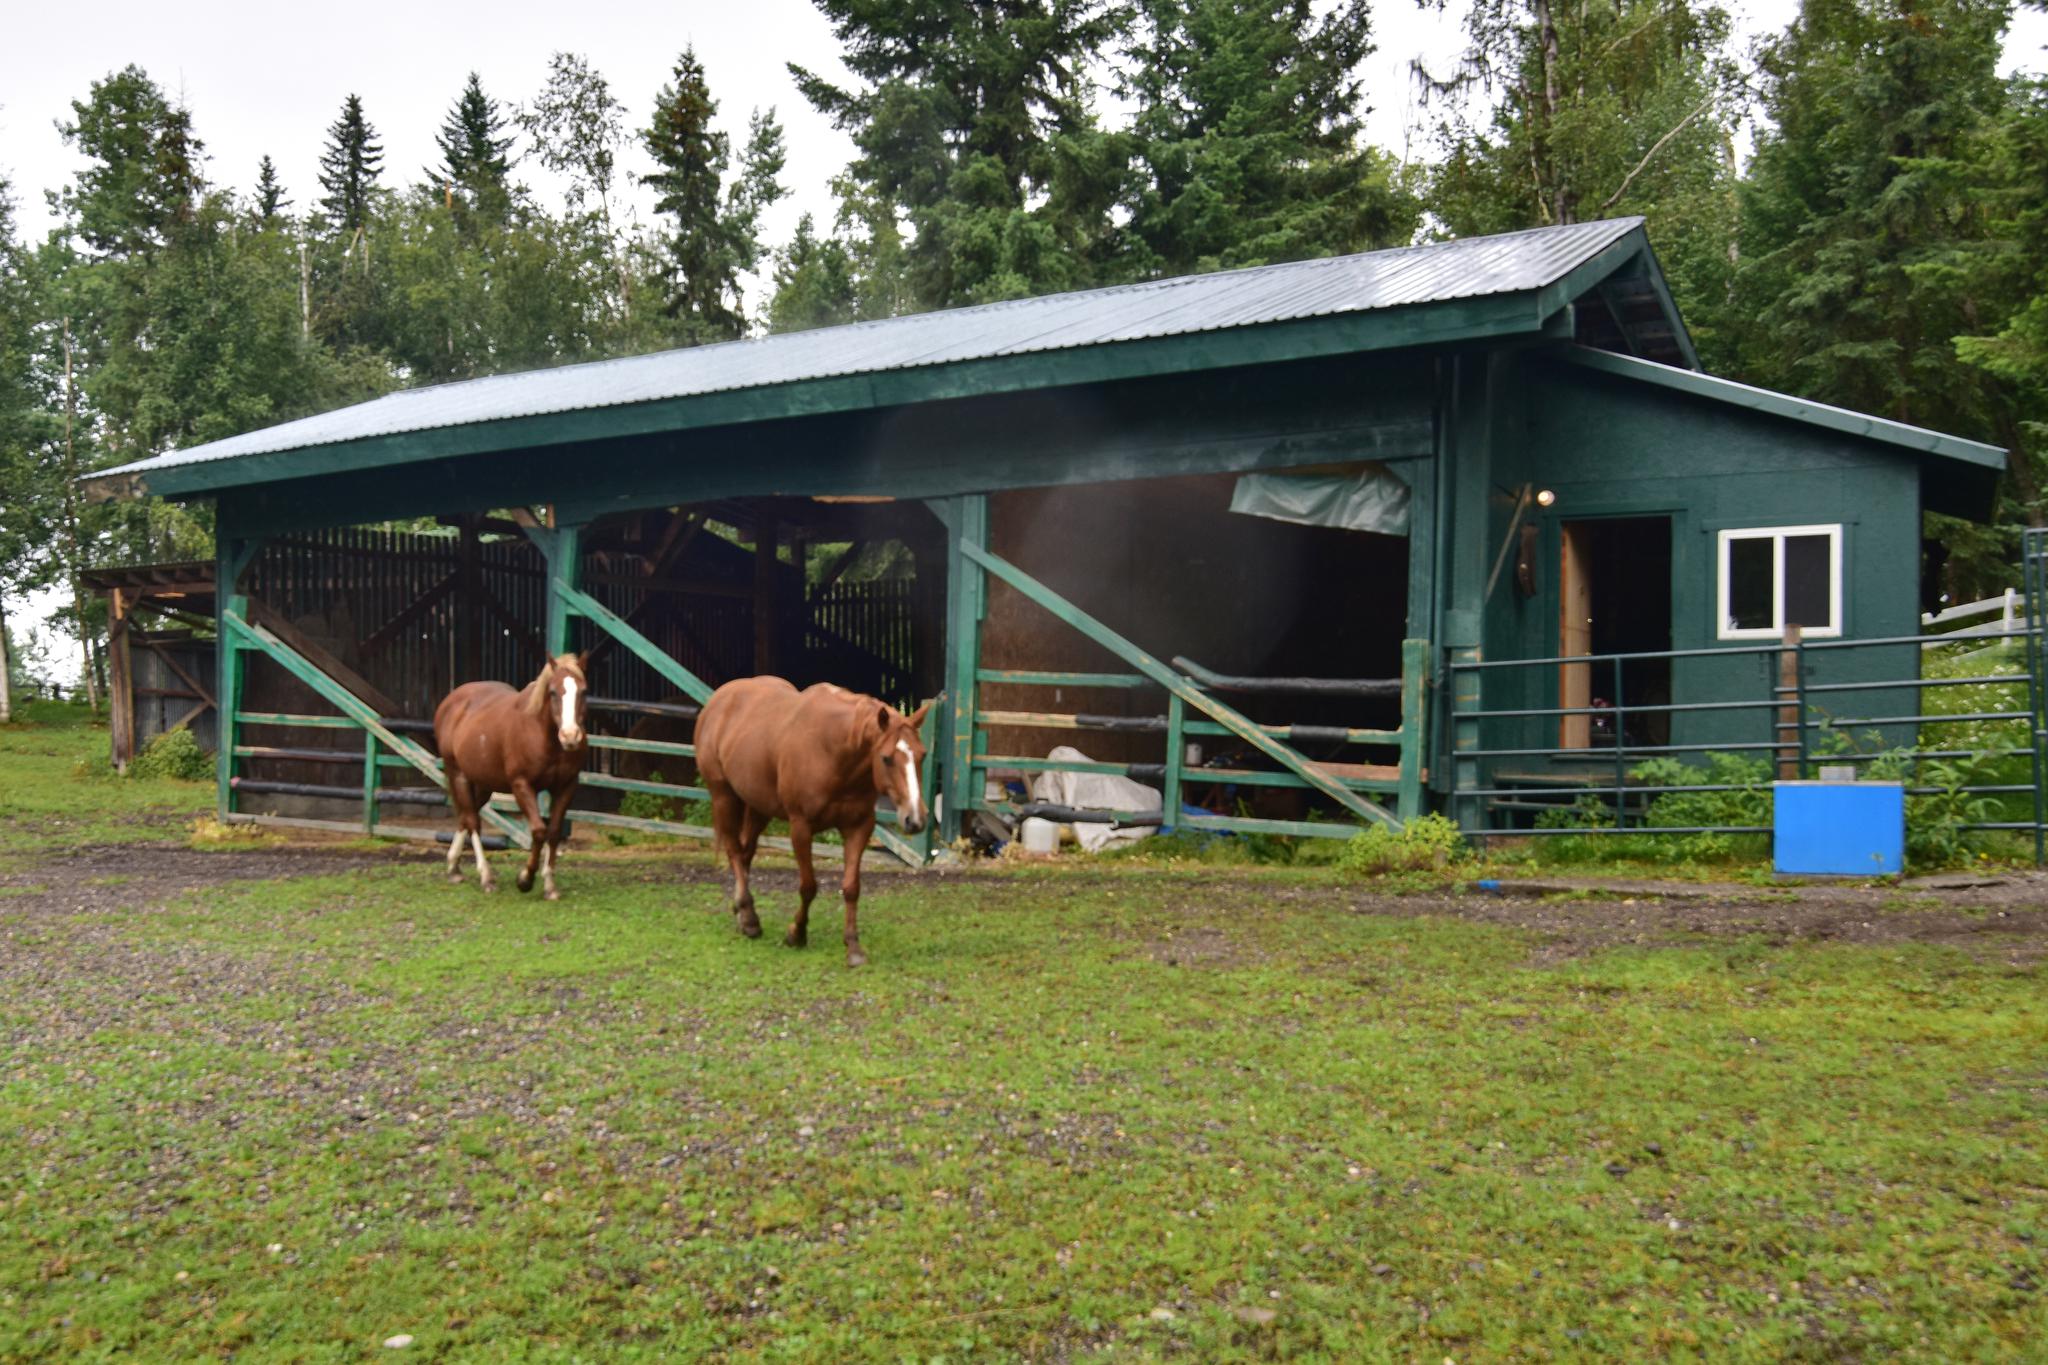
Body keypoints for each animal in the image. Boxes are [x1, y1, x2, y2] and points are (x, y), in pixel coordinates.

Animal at [433, 652, 589, 900]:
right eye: (553, 692)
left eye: (584, 691)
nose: (570, 736)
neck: (544, 735)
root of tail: (452, 700)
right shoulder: (521, 785)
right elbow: (538, 831)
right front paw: (525, 879)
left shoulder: (566, 785)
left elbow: (554, 832)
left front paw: (549, 885)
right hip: (458, 774)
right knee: (473, 821)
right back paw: (486, 877)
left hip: (484, 783)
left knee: (466, 816)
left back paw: (454, 868)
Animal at [694, 678, 932, 968]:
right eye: (886, 758)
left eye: (922, 755)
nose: (915, 819)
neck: (834, 753)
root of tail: (719, 699)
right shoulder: (801, 827)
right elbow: (808, 887)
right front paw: (796, 933)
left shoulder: (859, 827)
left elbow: (852, 888)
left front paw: (853, 946)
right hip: (723, 796)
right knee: (734, 851)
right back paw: (749, 919)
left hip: (758, 806)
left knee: (745, 852)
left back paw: (742, 912)